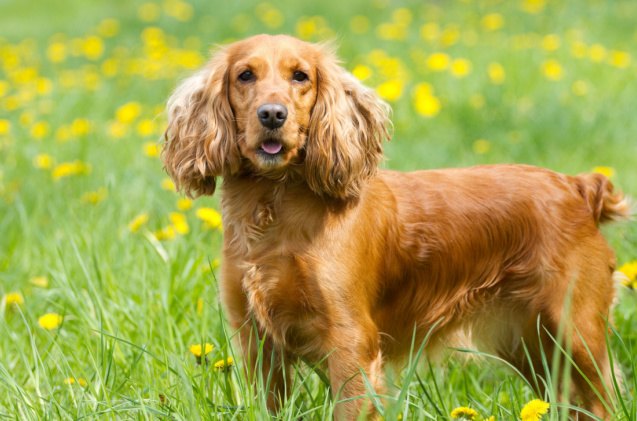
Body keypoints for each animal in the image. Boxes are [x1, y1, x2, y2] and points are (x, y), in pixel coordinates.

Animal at [161, 34, 628, 418]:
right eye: (245, 75)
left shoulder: (351, 345)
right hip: (531, 345)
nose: (272, 114)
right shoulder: (257, 342)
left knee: (602, 401)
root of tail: (578, 186)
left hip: (575, 333)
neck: (274, 208)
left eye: (300, 76)